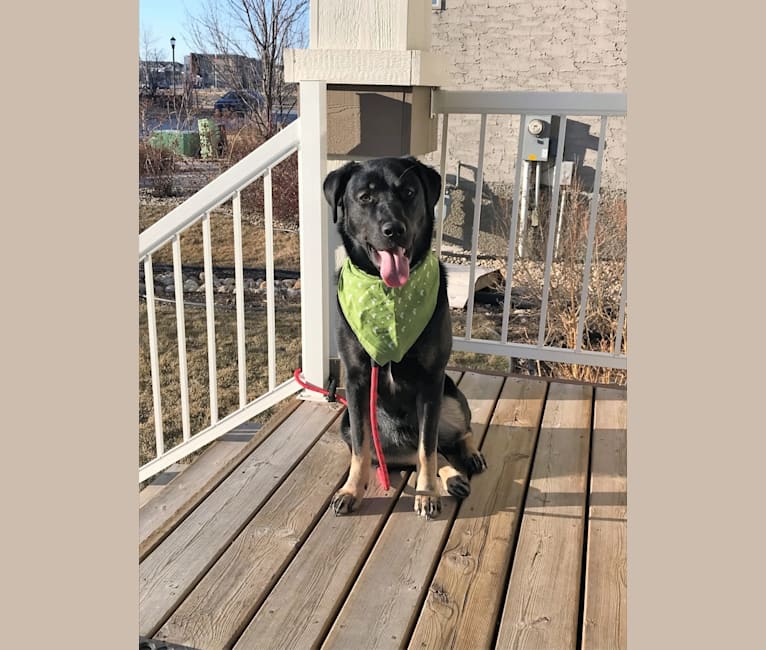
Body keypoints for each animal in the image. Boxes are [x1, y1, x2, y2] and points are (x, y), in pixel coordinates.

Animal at [322, 156, 486, 516]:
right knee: (412, 449)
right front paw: (351, 490)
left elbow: (428, 448)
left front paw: (427, 494)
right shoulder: (356, 382)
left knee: (451, 435)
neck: (388, 295)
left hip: (451, 396)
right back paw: (453, 476)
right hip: (356, 425)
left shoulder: (431, 381)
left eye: (409, 192)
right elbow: (361, 449)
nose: (394, 230)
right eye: (365, 197)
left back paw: (467, 457)